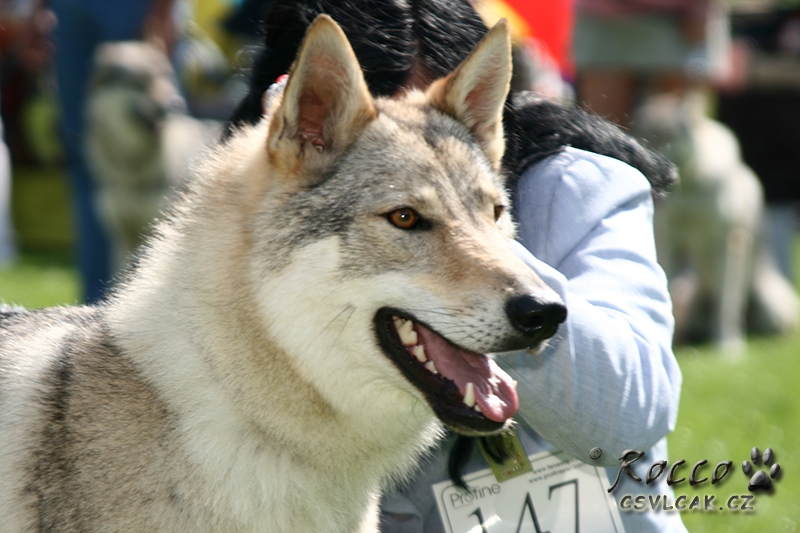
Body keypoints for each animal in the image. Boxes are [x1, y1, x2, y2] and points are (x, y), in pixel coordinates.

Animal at [636, 91, 796, 350]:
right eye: (639, 130)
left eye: (667, 135)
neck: (690, 187)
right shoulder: (668, 240)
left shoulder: (728, 243)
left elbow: (726, 303)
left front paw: (727, 346)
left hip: (770, 308)